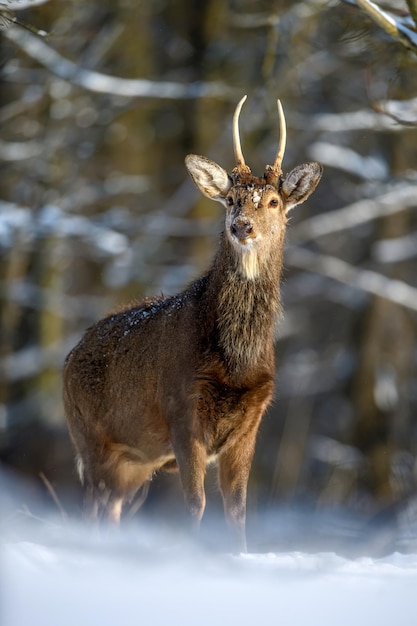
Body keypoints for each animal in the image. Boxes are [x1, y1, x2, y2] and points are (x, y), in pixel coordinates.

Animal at [63, 95, 322, 548]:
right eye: (231, 199)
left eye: (274, 202)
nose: (242, 226)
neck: (236, 365)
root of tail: (68, 358)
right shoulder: (181, 409)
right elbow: (195, 506)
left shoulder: (251, 422)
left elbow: (237, 510)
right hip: (89, 436)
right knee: (91, 507)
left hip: (134, 462)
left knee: (111, 509)